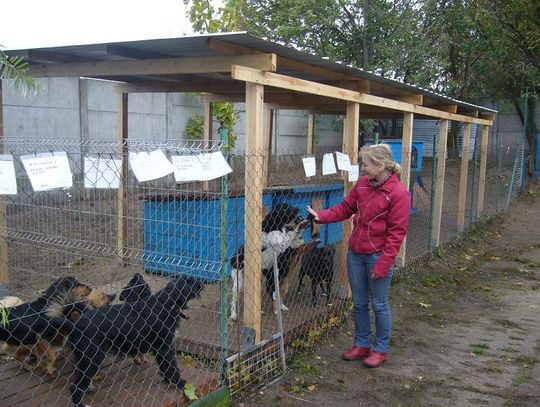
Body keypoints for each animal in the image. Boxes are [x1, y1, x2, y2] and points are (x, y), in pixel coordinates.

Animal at [49, 276, 205, 406]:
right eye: (190, 281)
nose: (201, 282)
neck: (165, 303)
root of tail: (74, 324)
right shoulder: (165, 349)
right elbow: (173, 370)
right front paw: (183, 386)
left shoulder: (160, 349)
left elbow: (165, 369)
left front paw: (169, 381)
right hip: (93, 359)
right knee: (74, 387)